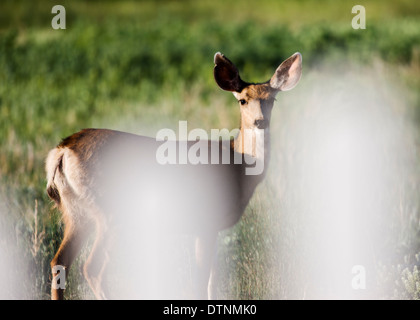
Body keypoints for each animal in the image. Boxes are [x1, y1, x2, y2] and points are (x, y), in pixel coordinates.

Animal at [46, 51, 302, 298]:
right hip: (108, 211)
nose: (260, 121)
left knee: (59, 261)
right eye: (243, 100)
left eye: (272, 99)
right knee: (91, 268)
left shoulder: (214, 227)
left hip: (77, 213)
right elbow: (200, 282)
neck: (237, 166)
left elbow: (213, 281)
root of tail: (61, 152)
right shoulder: (205, 220)